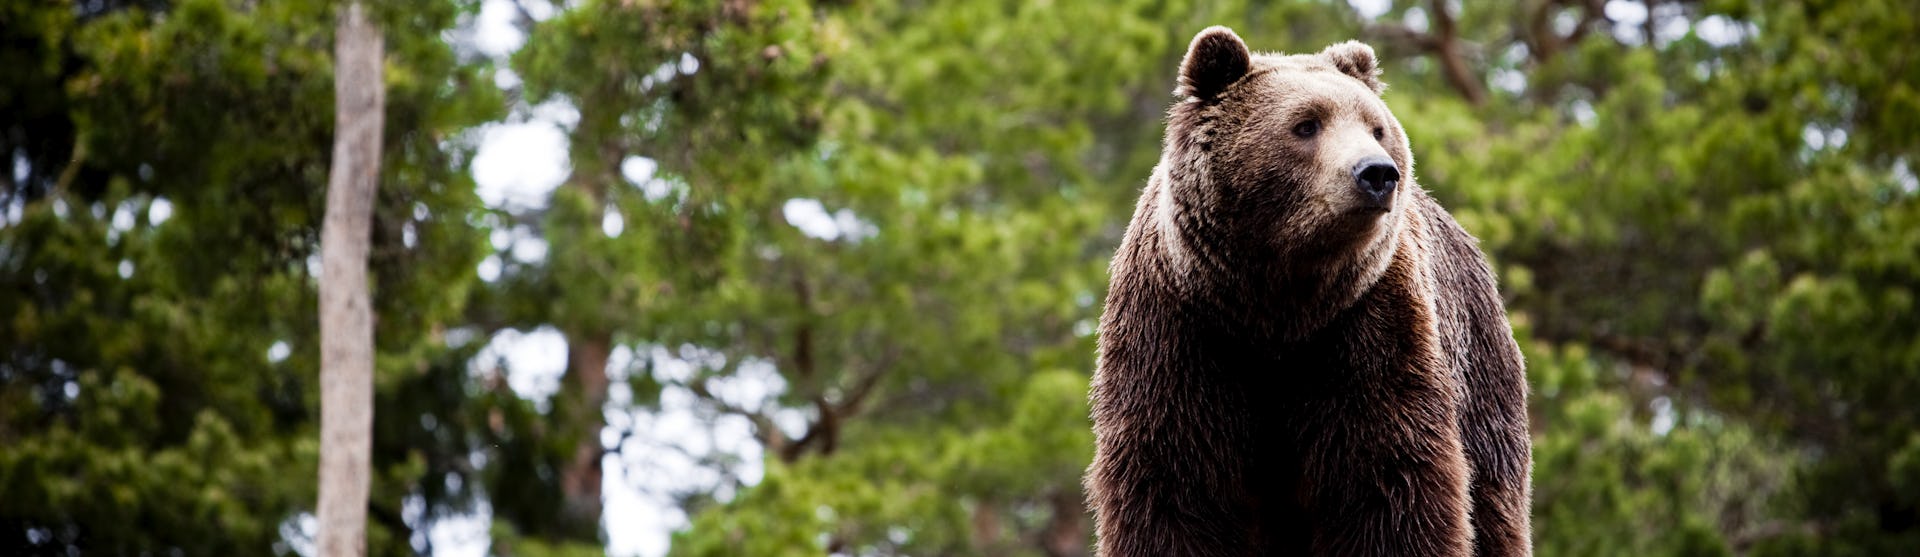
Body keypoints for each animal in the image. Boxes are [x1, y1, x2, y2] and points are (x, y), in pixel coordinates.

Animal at [1086, 26, 1532, 557]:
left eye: (1376, 128)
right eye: (1306, 124)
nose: (1378, 173)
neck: (1275, 305)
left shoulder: (1367, 326)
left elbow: (1390, 479)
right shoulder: (1179, 331)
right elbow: (1172, 483)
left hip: (1480, 378)